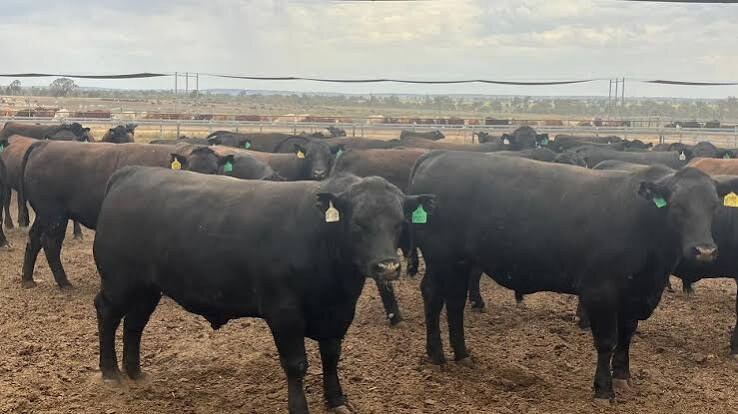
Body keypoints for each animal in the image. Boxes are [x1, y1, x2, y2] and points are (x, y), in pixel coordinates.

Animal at [18, 141, 236, 289]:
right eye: (190, 169)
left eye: (215, 171)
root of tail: (44, 144)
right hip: (55, 214)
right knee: (50, 243)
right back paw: (64, 282)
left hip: (44, 214)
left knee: (33, 239)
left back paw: (28, 279)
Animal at [93, 167, 434, 414]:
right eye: (358, 223)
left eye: (400, 223)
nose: (387, 267)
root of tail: (132, 173)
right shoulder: (283, 311)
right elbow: (296, 364)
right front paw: (299, 408)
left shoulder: (338, 313)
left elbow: (331, 354)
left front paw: (337, 399)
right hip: (119, 282)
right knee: (107, 313)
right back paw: (110, 372)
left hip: (147, 288)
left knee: (135, 323)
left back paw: (136, 372)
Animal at [407, 150, 738, 401]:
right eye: (678, 206)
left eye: (714, 206)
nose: (704, 251)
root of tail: (438, 155)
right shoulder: (599, 290)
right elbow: (607, 340)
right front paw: (603, 388)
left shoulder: (637, 293)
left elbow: (627, 334)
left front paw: (622, 375)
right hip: (440, 258)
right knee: (433, 295)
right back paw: (436, 354)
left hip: (460, 262)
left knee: (455, 302)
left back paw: (462, 354)